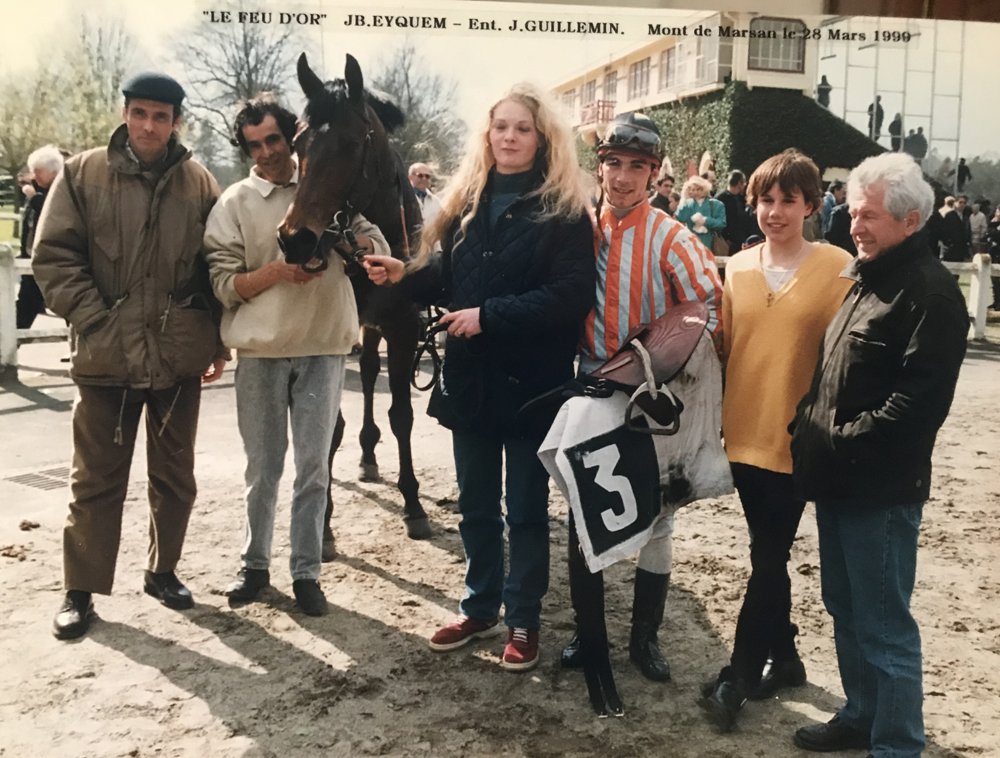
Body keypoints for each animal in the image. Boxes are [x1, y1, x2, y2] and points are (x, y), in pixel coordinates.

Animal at [278, 52, 431, 543]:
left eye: (349, 144)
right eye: (298, 141)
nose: (295, 239)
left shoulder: (404, 327)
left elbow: (402, 414)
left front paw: (413, 503)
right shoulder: (333, 336)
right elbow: (329, 426)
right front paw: (322, 521)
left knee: (367, 373)